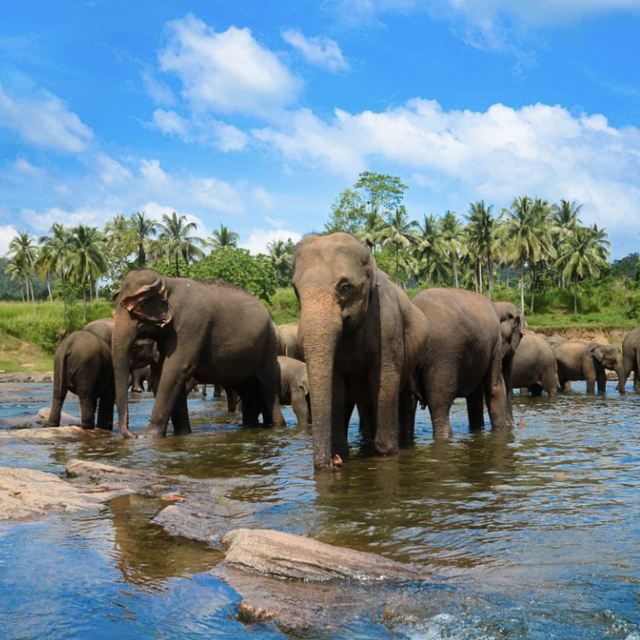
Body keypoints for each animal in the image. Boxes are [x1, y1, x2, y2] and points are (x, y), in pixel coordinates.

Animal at [111, 269, 285, 438]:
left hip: (268, 345)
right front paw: (182, 433)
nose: (134, 434)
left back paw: (277, 426)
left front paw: (150, 437)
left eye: (141, 305)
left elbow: (175, 370)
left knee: (267, 386)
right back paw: (250, 426)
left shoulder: (191, 324)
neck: (167, 282)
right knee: (246, 389)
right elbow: (160, 375)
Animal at [292, 233, 429, 469]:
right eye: (295, 290)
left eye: (345, 287)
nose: (334, 462)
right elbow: (336, 389)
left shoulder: (388, 326)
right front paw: (341, 453)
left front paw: (386, 453)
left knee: (403, 398)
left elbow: (384, 382)